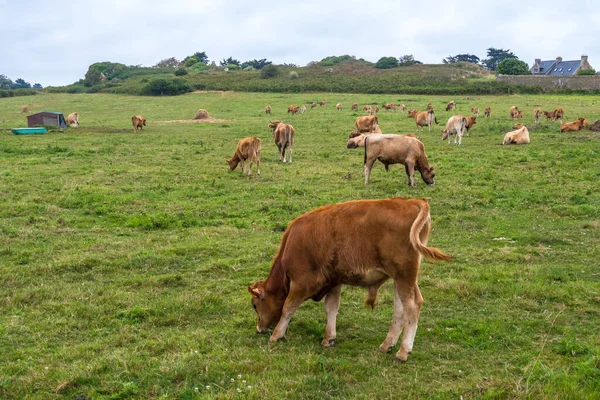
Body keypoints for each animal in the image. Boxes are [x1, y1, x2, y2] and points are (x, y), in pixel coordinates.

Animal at [247, 195, 450, 360]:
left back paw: (403, 352)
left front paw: (276, 335)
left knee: (412, 306)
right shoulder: (334, 281)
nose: (259, 329)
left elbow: (288, 308)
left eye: (255, 305)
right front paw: (329, 338)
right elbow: (331, 308)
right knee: (400, 309)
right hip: (401, 279)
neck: (293, 243)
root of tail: (413, 202)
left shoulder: (301, 284)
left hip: (404, 276)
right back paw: (387, 345)